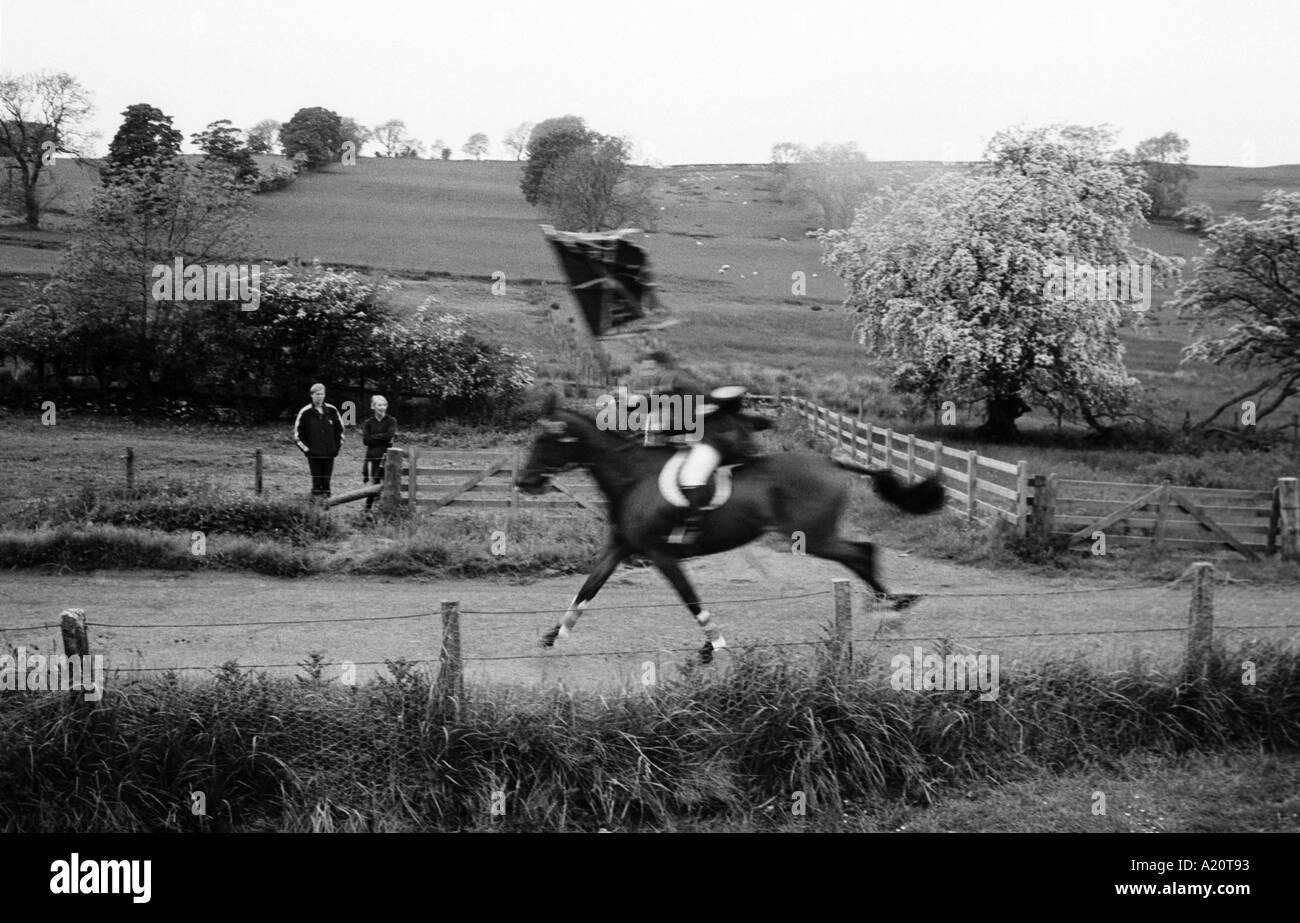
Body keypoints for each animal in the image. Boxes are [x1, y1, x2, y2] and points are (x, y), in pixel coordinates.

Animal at [512, 395, 951, 665]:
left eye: (548, 440)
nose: (523, 481)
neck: (631, 477)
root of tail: (831, 461)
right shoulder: (618, 548)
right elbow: (587, 590)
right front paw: (553, 636)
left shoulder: (662, 555)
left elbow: (692, 600)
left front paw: (714, 645)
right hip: (816, 536)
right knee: (861, 553)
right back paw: (890, 606)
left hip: (812, 536)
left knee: (860, 552)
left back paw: (892, 609)